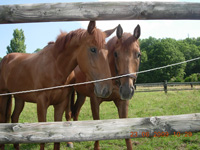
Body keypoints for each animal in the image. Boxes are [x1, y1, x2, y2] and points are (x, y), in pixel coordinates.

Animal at [0, 21, 115, 150]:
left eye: (107, 52)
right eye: (93, 49)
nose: (106, 89)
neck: (55, 67)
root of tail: (6, 58)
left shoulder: (61, 104)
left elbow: (57, 137)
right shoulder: (41, 103)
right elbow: (42, 138)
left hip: (19, 98)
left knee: (14, 117)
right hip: (4, 95)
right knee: (3, 118)